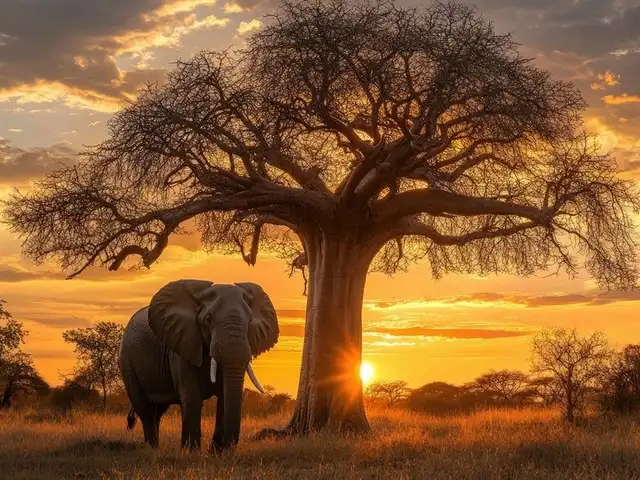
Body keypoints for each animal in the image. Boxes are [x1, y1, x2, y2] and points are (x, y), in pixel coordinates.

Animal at [119, 279, 279, 452]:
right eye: (208, 320)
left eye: (249, 321)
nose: (229, 447)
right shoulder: (183, 344)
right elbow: (192, 395)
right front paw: (190, 452)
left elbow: (224, 394)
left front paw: (218, 453)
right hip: (126, 360)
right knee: (145, 409)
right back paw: (152, 448)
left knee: (158, 411)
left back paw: (155, 448)